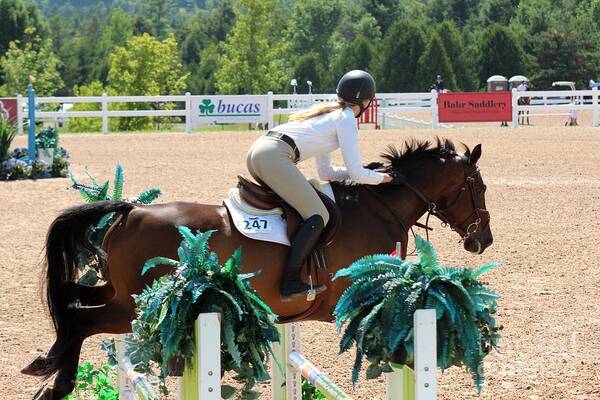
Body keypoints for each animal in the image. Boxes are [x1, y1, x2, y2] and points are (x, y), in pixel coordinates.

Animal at [22, 138, 492, 400]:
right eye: (479, 186)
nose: (482, 240)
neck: (380, 208)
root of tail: (130, 211)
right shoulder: (355, 297)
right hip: (133, 306)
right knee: (82, 320)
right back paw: (58, 383)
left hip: (119, 295)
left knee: (70, 301)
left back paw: (46, 366)